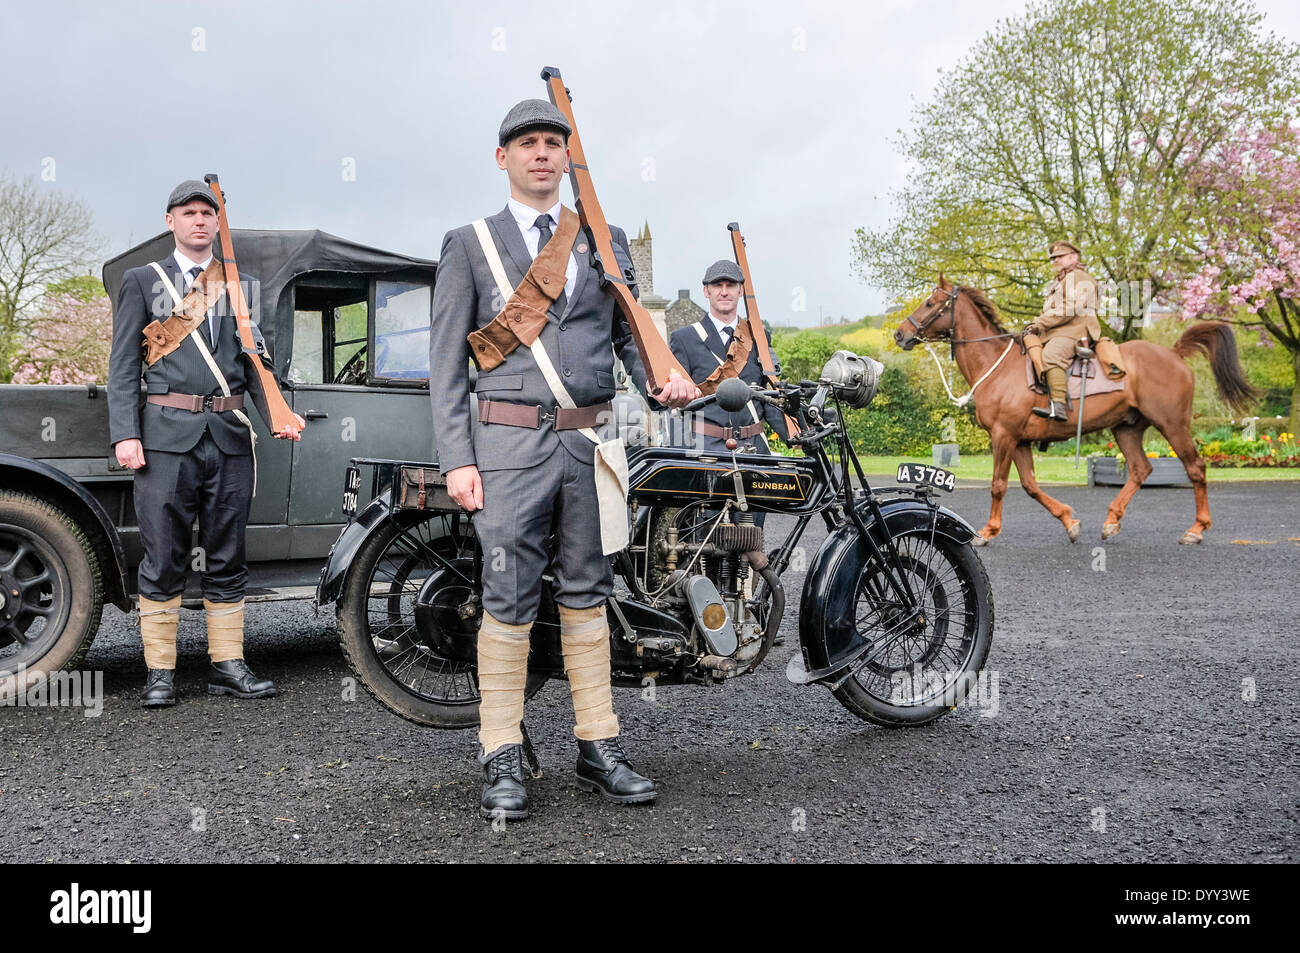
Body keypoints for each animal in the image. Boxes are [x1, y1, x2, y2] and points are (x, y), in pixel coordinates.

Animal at [894, 275, 1258, 543]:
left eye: (931, 303)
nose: (900, 333)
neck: (997, 365)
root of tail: (1172, 352)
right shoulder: (1020, 440)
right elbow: (1031, 486)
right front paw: (1069, 521)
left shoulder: (1004, 435)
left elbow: (999, 484)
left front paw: (988, 531)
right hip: (1126, 427)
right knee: (1140, 469)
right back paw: (1111, 521)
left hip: (1172, 424)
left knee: (1195, 467)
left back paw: (1196, 529)